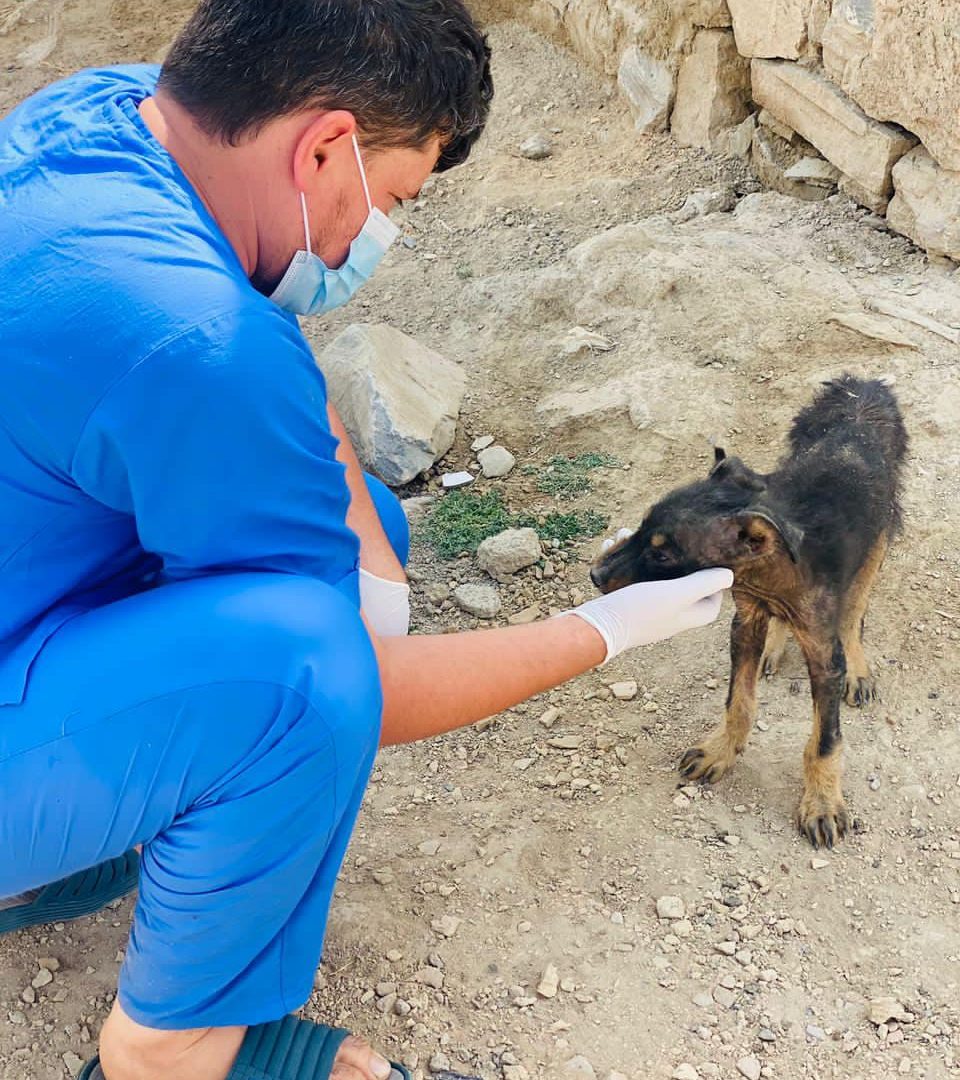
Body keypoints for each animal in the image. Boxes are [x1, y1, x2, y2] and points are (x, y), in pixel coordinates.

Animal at [591, 375, 907, 846]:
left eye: (664, 555)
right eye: (643, 529)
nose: (594, 575)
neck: (773, 573)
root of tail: (862, 386)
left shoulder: (823, 653)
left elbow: (825, 740)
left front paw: (821, 803)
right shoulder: (745, 621)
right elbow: (738, 701)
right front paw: (720, 751)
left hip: (879, 536)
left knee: (854, 610)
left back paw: (858, 667)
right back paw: (774, 647)